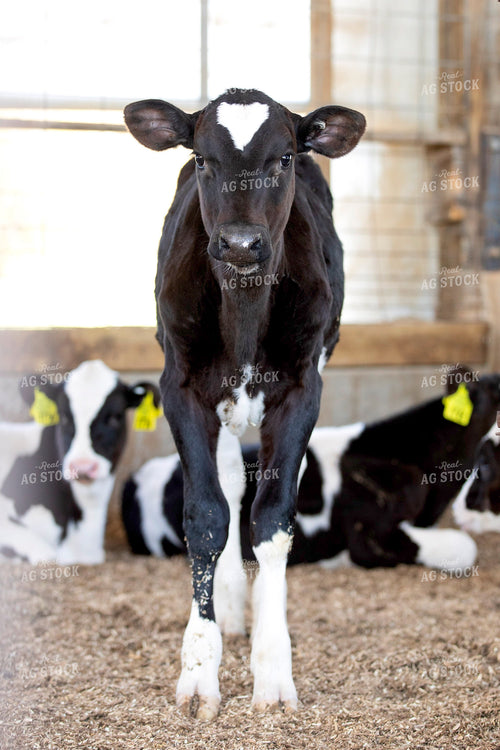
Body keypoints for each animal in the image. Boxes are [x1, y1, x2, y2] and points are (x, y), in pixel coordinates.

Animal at [124, 87, 366, 718]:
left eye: (283, 158)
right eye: (202, 159)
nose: (238, 243)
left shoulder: (303, 390)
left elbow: (274, 519)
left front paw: (273, 671)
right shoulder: (180, 388)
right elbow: (207, 516)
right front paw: (200, 672)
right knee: (230, 483)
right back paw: (233, 604)